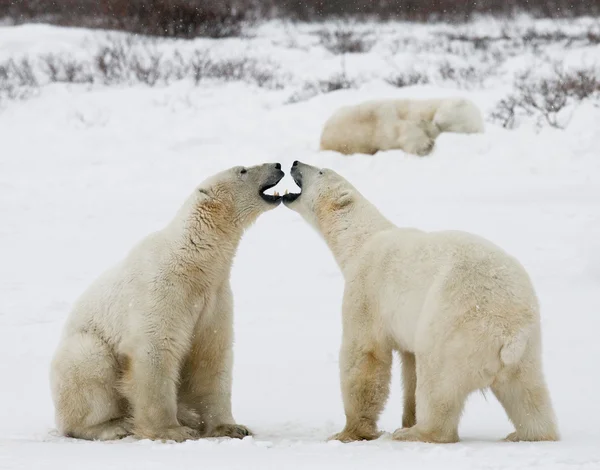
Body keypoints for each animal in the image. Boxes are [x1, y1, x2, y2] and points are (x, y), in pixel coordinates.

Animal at [49, 163, 284, 442]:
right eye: (243, 170)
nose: (278, 165)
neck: (192, 261)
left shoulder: (214, 298)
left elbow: (211, 355)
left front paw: (231, 427)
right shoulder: (161, 290)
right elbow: (156, 350)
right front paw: (172, 430)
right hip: (80, 356)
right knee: (88, 361)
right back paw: (113, 426)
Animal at [284, 162, 560, 444]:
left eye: (321, 171)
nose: (294, 163)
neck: (362, 240)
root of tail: (511, 333)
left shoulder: (368, 289)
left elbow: (365, 353)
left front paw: (348, 432)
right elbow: (410, 365)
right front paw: (406, 416)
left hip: (454, 323)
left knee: (437, 381)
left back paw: (415, 433)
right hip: (527, 350)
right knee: (528, 393)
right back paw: (528, 434)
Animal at [318, 98, 482, 157]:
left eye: (454, 126)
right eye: (447, 116)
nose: (437, 122)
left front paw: (426, 145)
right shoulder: (412, 109)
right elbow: (402, 125)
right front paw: (425, 144)